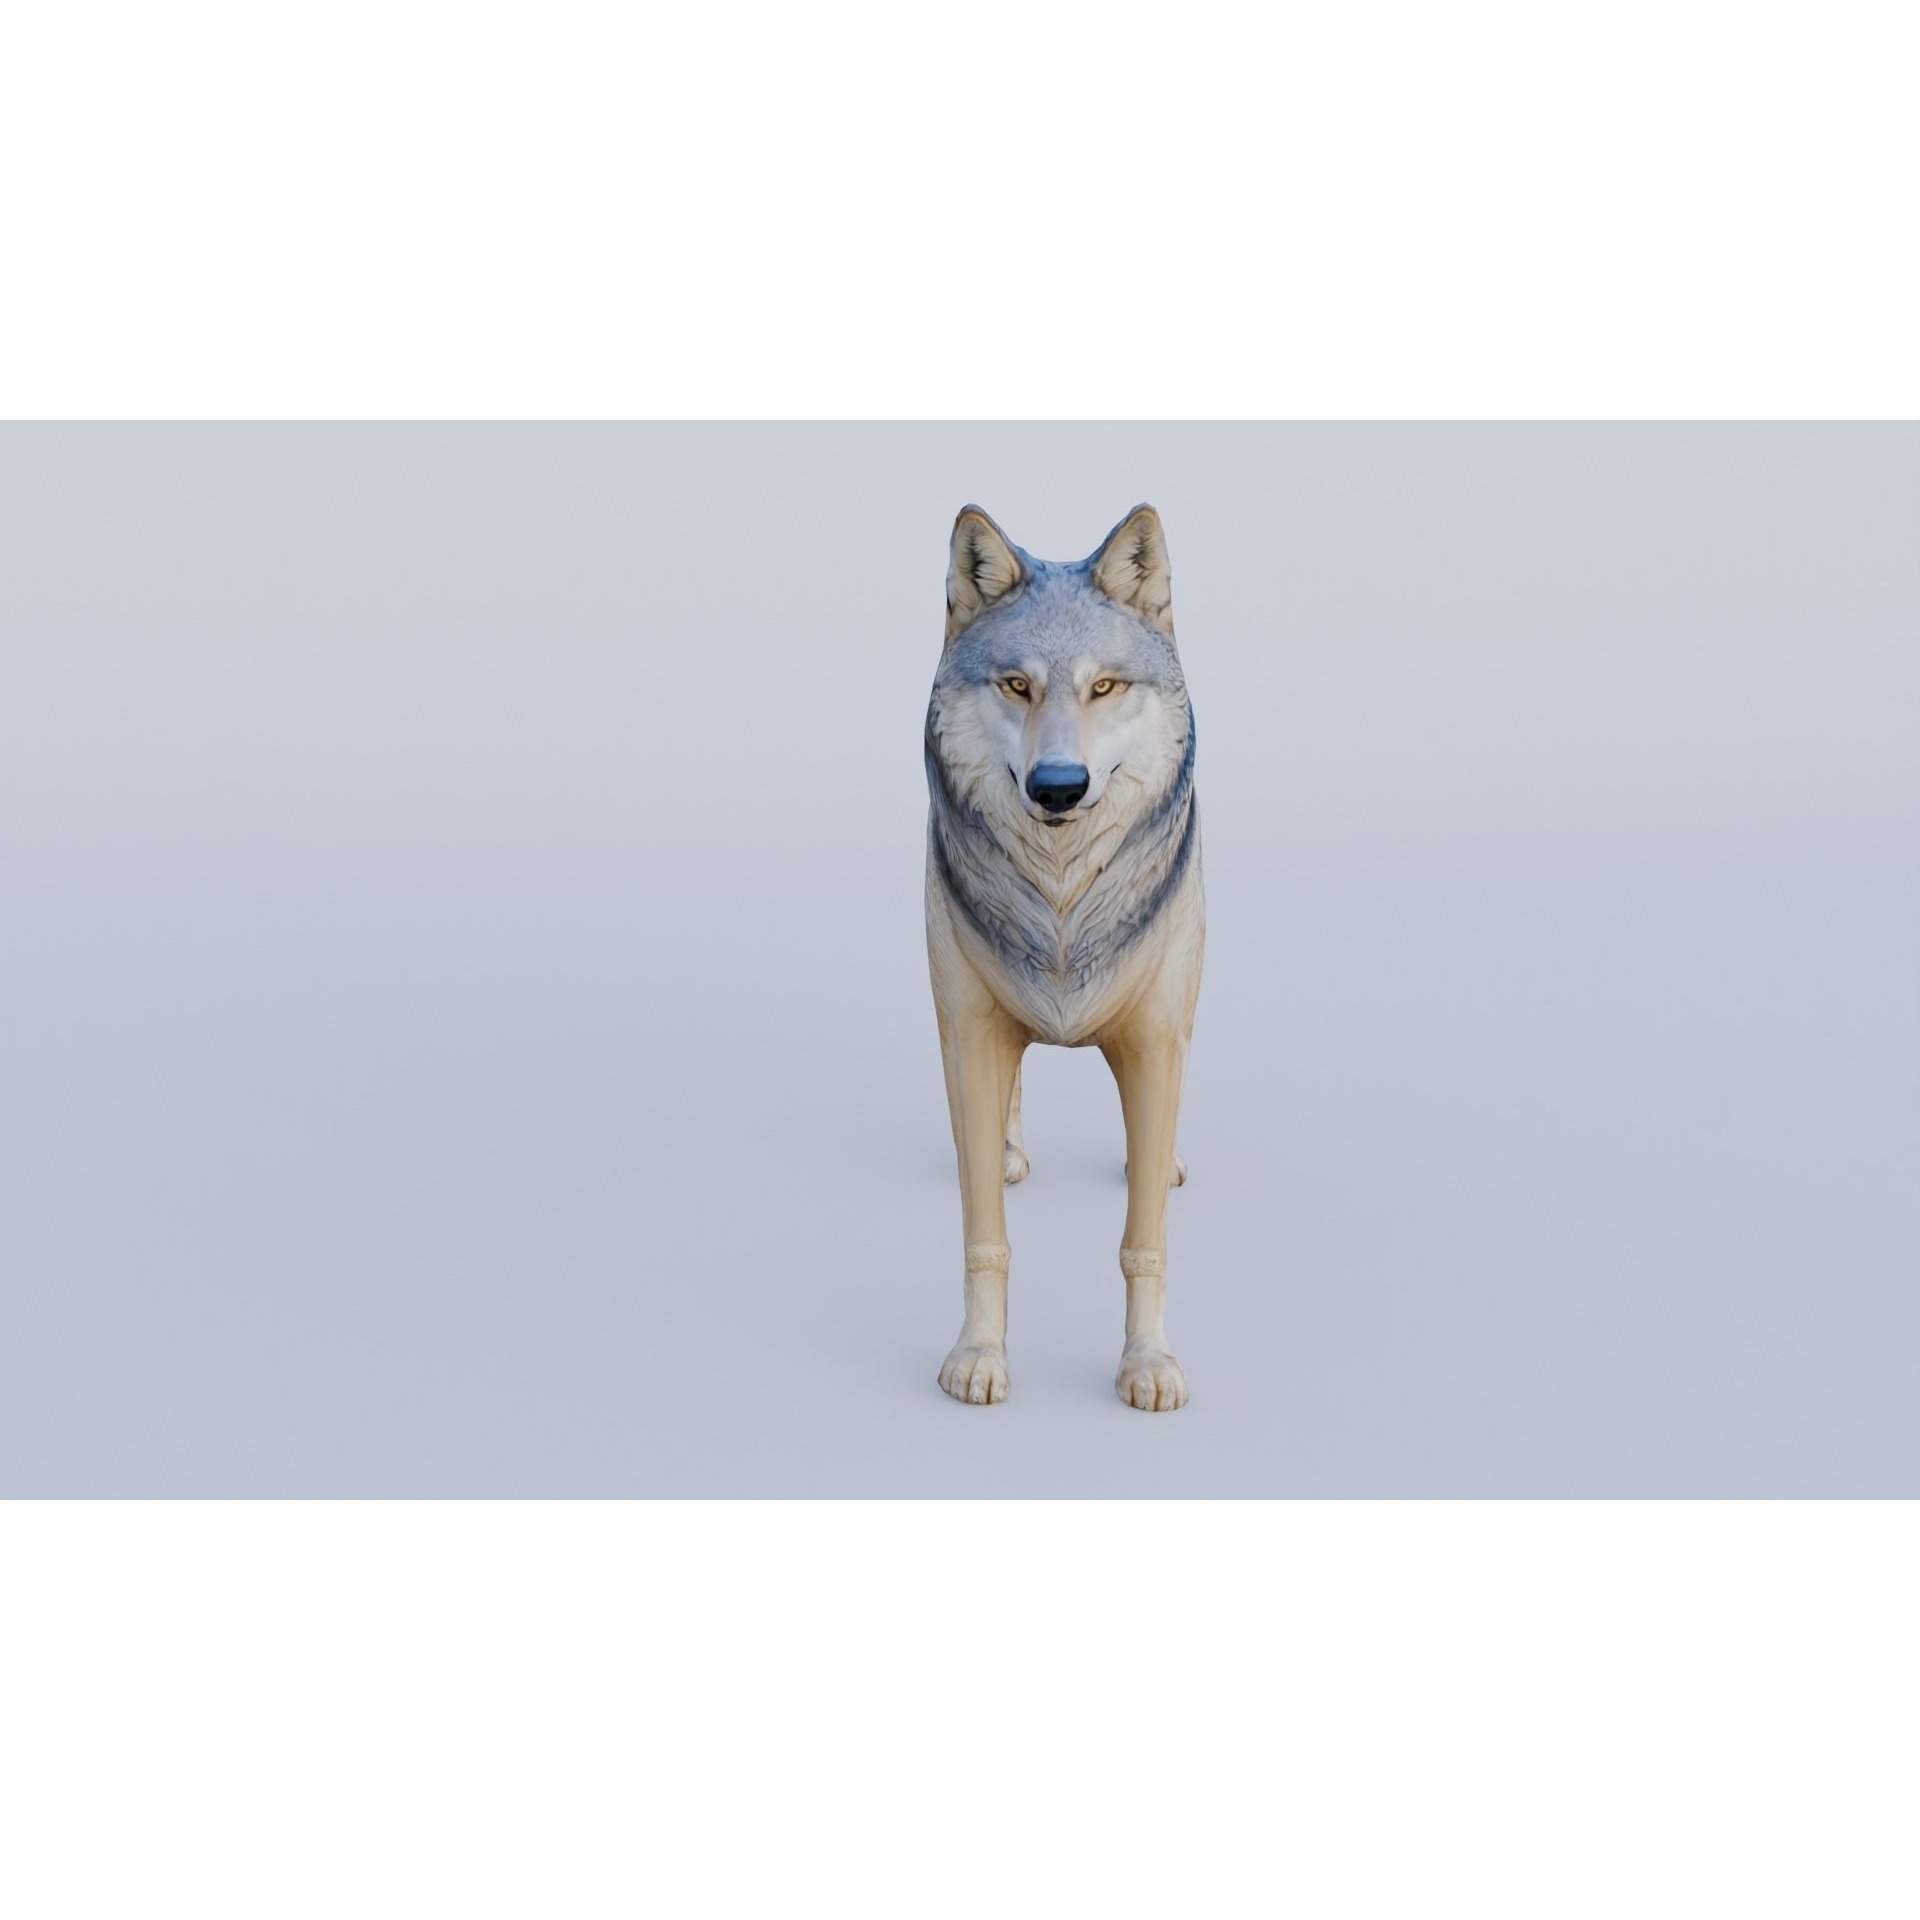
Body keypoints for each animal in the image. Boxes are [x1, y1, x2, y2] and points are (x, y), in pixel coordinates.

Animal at [925, 503, 1203, 1412]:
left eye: (1104, 687)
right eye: (1017, 685)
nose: (1056, 787)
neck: (1059, 904)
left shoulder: (1154, 1041)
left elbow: (1143, 1242)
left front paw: (1147, 1364)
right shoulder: (972, 1029)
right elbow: (984, 1233)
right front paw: (978, 1355)